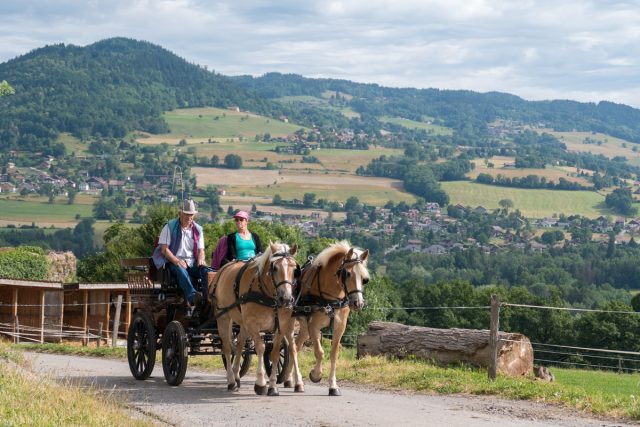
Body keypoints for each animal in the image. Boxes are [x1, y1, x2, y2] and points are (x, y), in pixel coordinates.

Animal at [209, 242, 302, 396]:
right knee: (227, 348)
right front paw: (261, 383)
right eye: (274, 268)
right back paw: (231, 381)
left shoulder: (281, 325)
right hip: (223, 318)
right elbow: (261, 347)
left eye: (295, 269)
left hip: (245, 323)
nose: (286, 299)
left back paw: (236, 375)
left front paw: (273, 386)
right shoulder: (252, 324)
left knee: (240, 345)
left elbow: (275, 353)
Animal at [282, 242, 368, 396]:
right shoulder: (314, 325)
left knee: (296, 347)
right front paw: (315, 375)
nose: (358, 303)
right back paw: (297, 382)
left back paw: (289, 379)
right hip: (290, 321)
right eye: (347, 273)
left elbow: (334, 354)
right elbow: (320, 352)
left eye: (364, 278)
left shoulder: (340, 325)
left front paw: (333, 386)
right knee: (291, 348)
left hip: (304, 327)